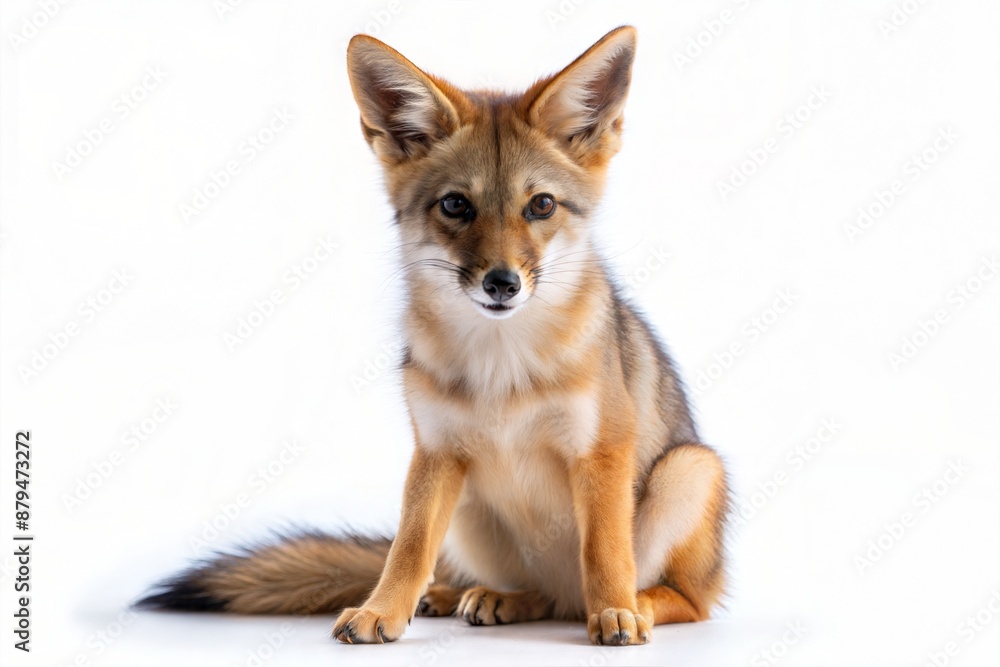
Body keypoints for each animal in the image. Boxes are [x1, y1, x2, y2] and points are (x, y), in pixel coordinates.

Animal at [139, 25, 729, 647]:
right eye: (455, 204)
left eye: (541, 205)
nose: (503, 283)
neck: (503, 370)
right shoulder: (436, 451)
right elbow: (409, 546)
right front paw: (382, 610)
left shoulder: (600, 450)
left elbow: (605, 551)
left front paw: (616, 610)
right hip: (472, 512)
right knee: (531, 593)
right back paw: (473, 596)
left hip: (688, 469)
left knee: (688, 600)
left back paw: (635, 604)